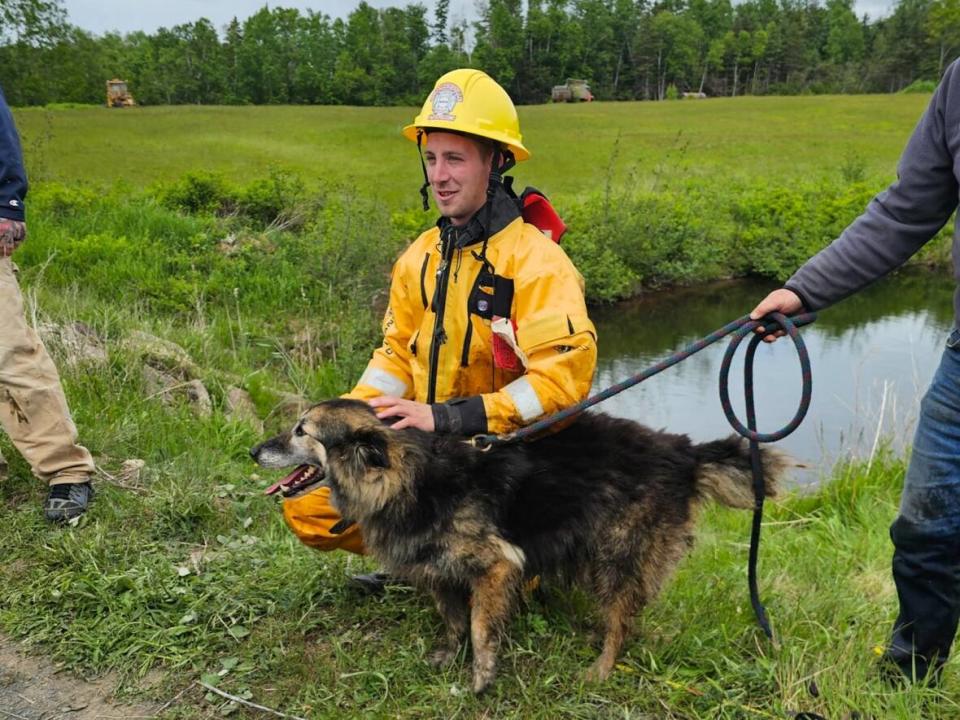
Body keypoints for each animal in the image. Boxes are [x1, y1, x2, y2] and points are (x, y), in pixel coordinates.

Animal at [251, 400, 784, 692]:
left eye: (302, 430)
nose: (253, 450)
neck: (405, 478)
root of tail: (686, 451)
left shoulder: (498, 566)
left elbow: (480, 626)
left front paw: (481, 679)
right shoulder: (438, 568)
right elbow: (453, 621)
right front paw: (448, 656)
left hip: (618, 553)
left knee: (623, 619)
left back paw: (602, 667)